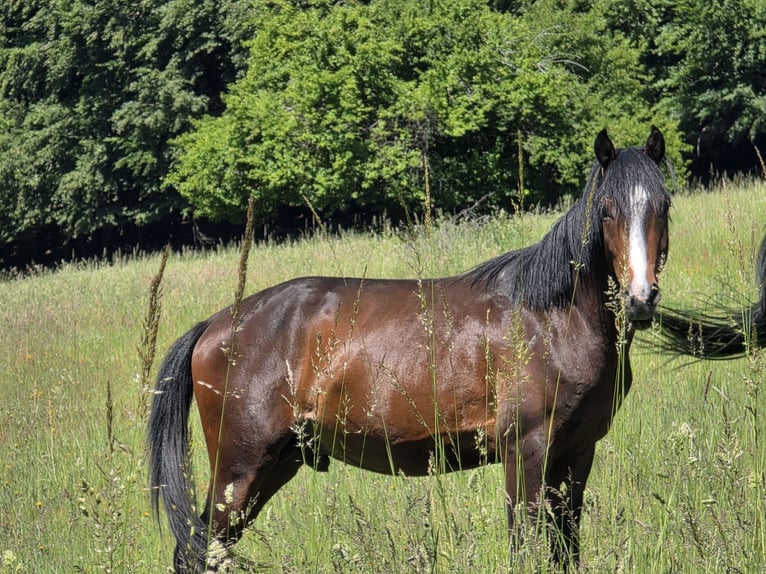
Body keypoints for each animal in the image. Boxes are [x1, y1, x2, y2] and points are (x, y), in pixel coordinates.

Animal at [149, 127, 671, 572]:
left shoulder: (576, 456)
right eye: (607, 209)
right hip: (239, 471)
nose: (640, 297)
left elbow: (566, 550)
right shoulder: (525, 453)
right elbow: (523, 548)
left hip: (276, 464)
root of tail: (216, 324)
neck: (552, 318)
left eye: (663, 206)